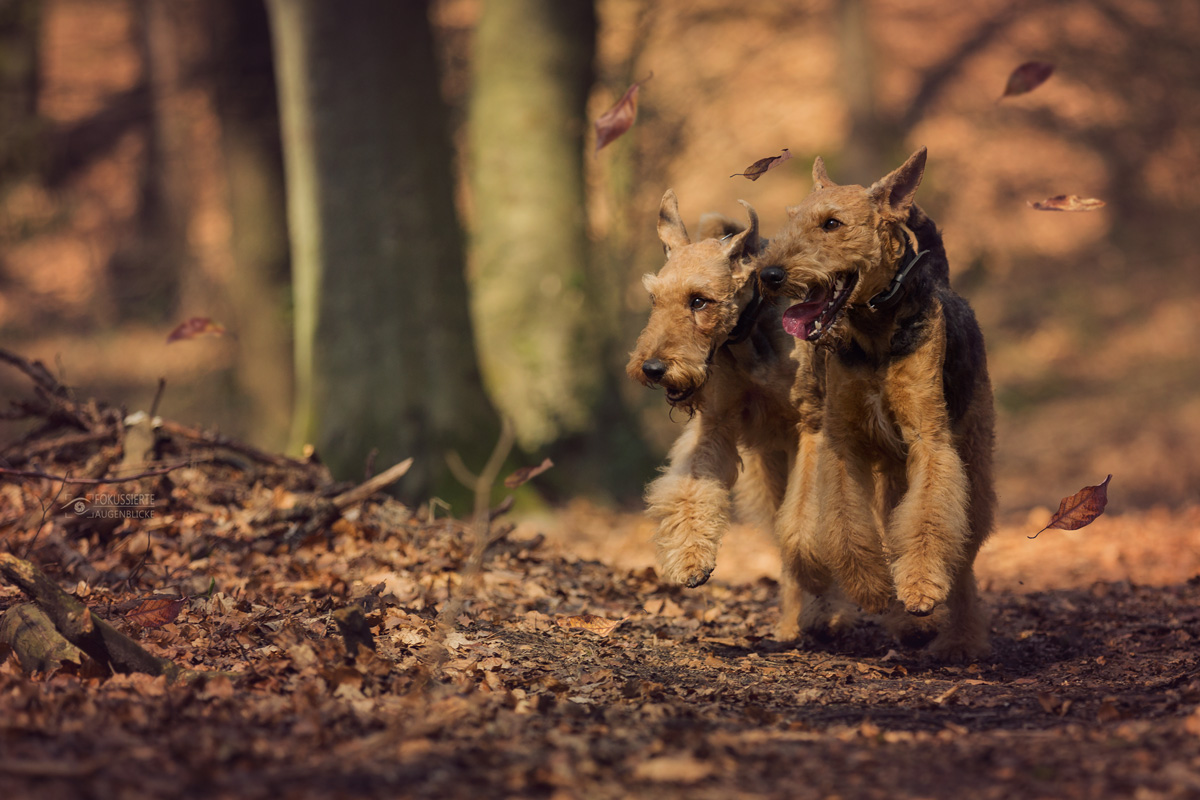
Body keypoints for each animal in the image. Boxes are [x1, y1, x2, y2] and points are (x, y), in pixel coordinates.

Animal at [628, 191, 816, 594]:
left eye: (699, 300)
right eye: (654, 300)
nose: (652, 368)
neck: (746, 341)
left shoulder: (813, 426)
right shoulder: (715, 423)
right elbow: (689, 488)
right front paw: (690, 560)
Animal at [753, 148, 998, 657]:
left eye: (832, 224)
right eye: (792, 217)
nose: (769, 275)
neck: (874, 332)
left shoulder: (929, 439)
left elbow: (927, 523)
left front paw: (919, 590)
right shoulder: (839, 440)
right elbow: (839, 526)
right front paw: (870, 588)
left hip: (971, 455)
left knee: (961, 550)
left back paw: (959, 637)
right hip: (888, 467)